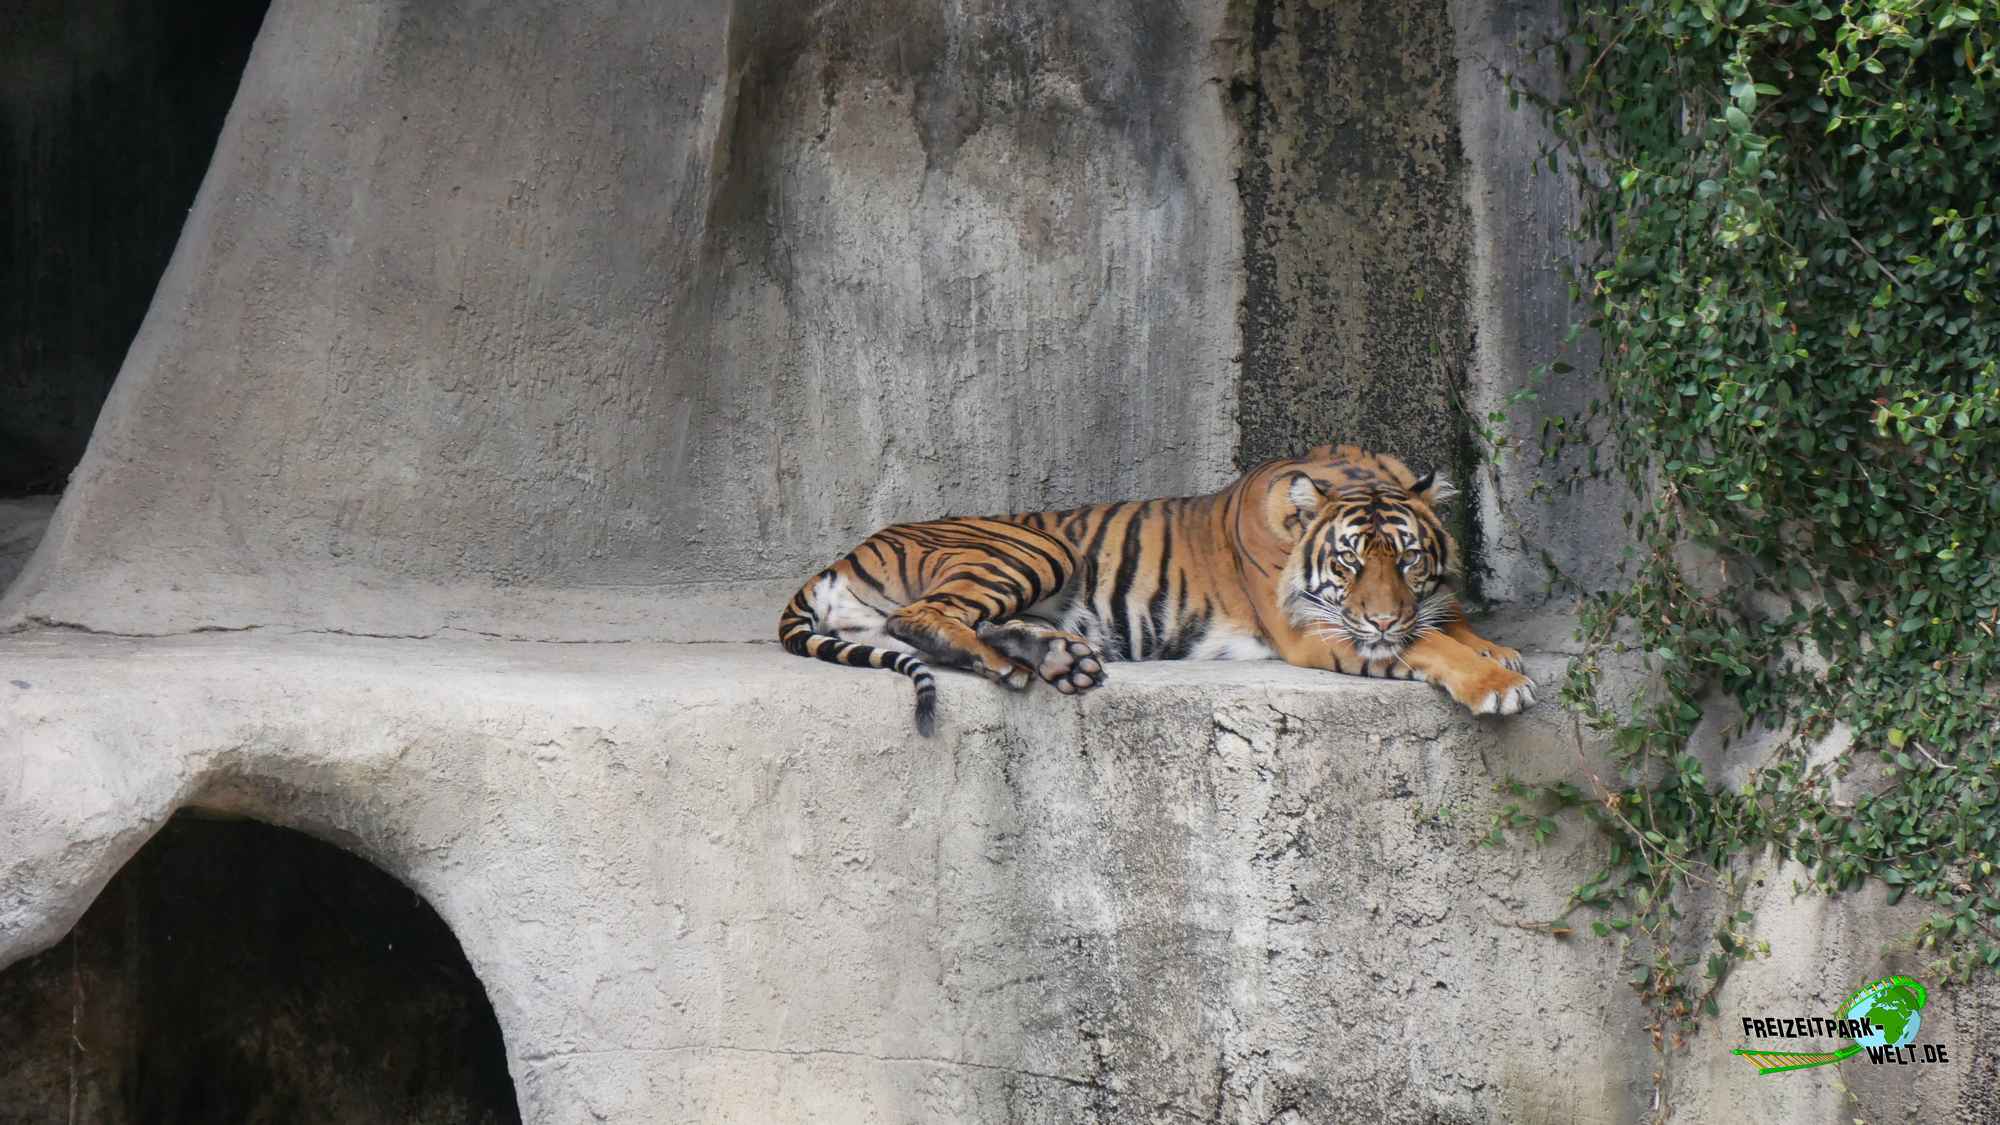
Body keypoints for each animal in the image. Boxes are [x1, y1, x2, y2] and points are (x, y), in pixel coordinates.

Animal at [778, 444, 1533, 734]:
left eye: (1407, 561)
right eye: (1348, 564)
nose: (1380, 619)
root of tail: (843, 556)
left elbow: (1444, 621)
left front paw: (1497, 651)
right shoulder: (1316, 629)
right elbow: (1428, 644)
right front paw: (1498, 682)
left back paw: (1060, 658)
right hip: (1034, 548)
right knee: (920, 617)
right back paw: (1012, 663)